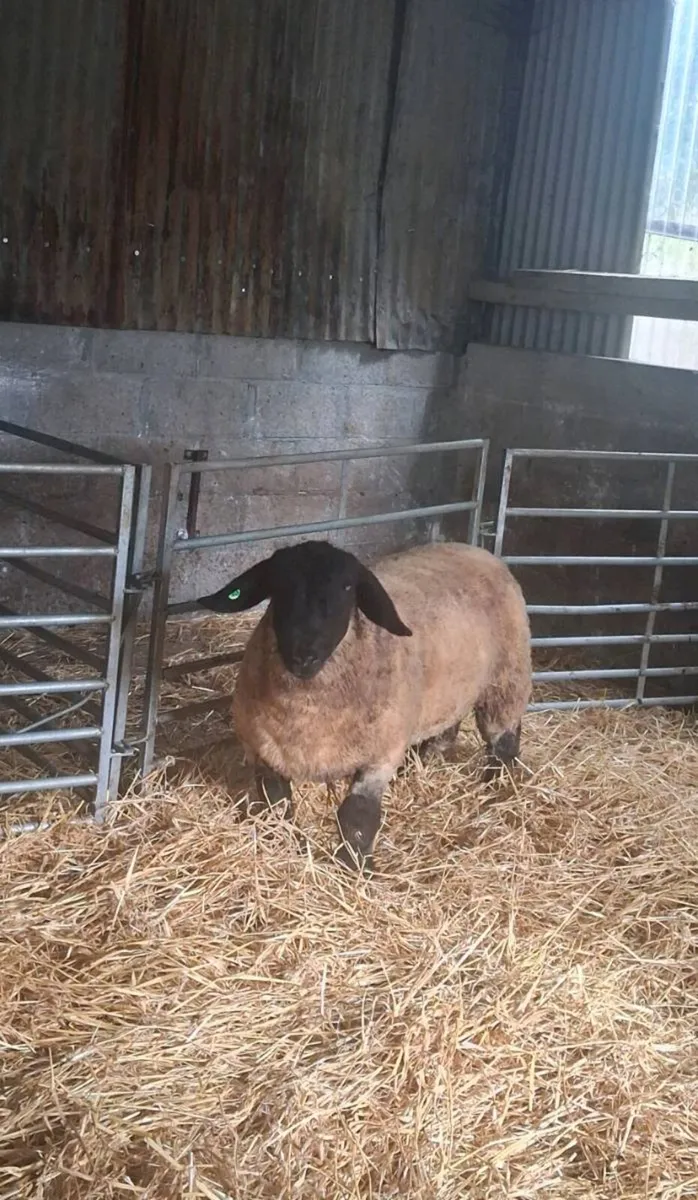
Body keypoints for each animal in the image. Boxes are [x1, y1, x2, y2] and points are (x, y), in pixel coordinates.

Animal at [197, 538, 531, 872]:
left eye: (348, 587)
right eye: (277, 585)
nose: (304, 654)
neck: (307, 714)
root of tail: (474, 548)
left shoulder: (378, 757)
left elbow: (356, 816)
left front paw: (354, 869)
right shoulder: (263, 753)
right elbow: (277, 806)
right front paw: (281, 846)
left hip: (506, 678)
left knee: (503, 742)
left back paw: (495, 789)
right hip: (450, 690)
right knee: (446, 730)